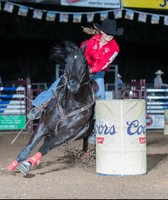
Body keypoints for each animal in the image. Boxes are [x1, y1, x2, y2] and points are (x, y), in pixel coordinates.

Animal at [6, 41, 96, 177]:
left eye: (84, 61)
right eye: (67, 61)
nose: (73, 84)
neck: (71, 105)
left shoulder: (66, 133)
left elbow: (44, 148)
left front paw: (27, 165)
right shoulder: (42, 126)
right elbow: (28, 148)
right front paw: (11, 166)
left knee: (85, 144)